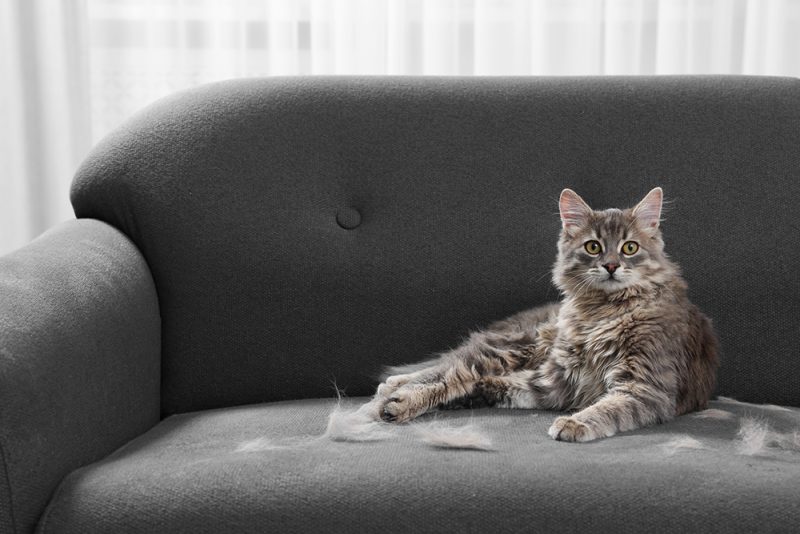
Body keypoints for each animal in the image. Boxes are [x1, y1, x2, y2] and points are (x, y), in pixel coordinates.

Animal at [368, 188, 720, 444]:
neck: (602, 310)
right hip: (516, 345)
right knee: (451, 365)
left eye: (630, 248)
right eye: (593, 247)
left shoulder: (640, 387)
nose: (610, 265)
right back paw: (396, 389)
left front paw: (574, 423)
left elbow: (609, 408)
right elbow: (458, 377)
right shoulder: (561, 375)